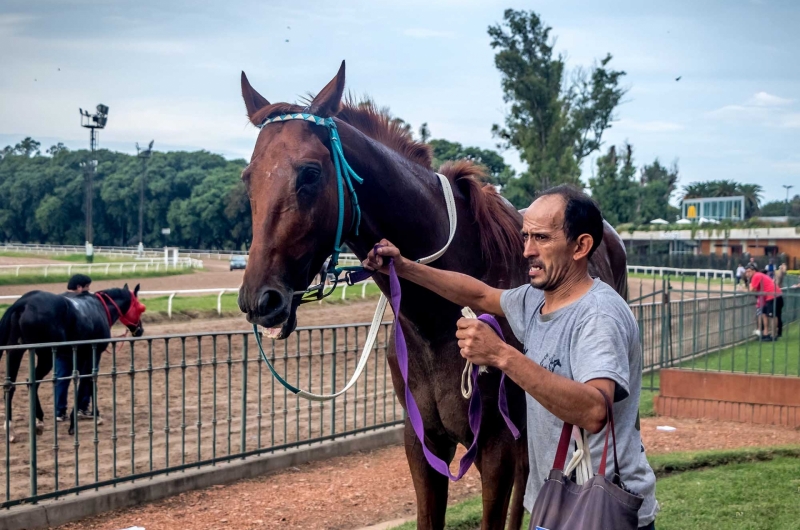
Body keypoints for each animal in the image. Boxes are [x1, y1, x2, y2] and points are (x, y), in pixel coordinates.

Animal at [1, 282, 145, 440]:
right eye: (140, 307)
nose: (140, 330)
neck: (99, 307)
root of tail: (24, 302)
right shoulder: (93, 354)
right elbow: (86, 382)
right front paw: (74, 422)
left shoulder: (80, 356)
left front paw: (95, 414)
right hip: (46, 356)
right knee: (33, 381)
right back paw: (38, 420)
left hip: (15, 351)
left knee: (11, 385)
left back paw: (11, 427)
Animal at [238, 63, 632, 528]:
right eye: (248, 178)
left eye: (310, 173)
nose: (259, 300)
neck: (434, 325)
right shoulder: (422, 442)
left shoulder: (495, 445)